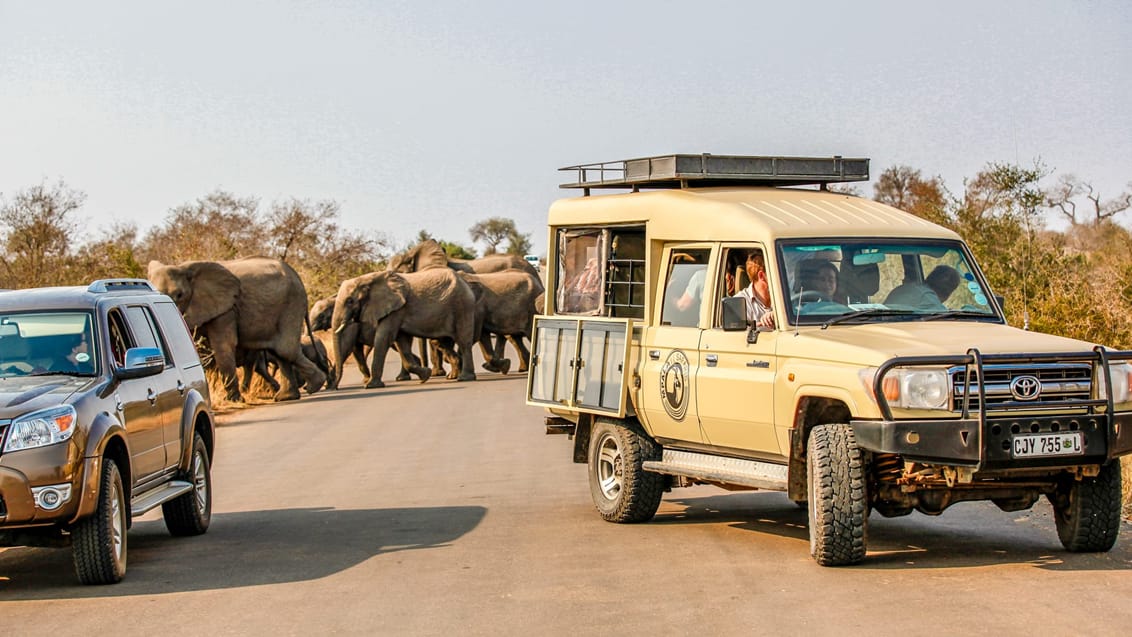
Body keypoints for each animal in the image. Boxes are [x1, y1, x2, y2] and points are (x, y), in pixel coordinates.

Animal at [146, 255, 323, 400]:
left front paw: (233, 400)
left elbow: (223, 346)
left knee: (285, 350)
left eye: (180, 295)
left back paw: (313, 387)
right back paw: (286, 397)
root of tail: (296, 274)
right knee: (278, 352)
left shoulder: (226, 308)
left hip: (291, 305)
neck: (184, 268)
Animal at [330, 268, 475, 389]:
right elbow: (401, 342)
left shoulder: (397, 309)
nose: (335, 387)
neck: (366, 279)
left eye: (349, 301)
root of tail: (465, 282)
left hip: (462, 306)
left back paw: (465, 378)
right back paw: (454, 375)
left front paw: (371, 386)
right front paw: (425, 375)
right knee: (442, 342)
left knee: (464, 341)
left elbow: (384, 338)